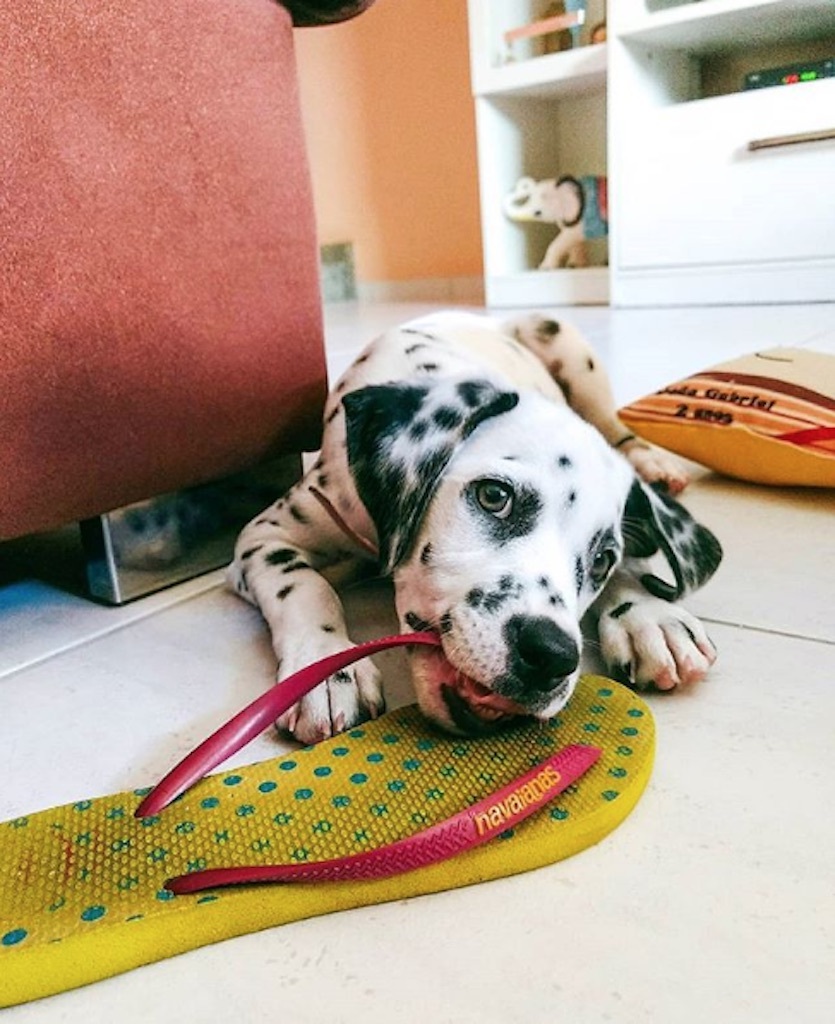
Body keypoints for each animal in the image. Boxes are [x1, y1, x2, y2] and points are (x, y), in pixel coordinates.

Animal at [230, 311, 725, 745]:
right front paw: (327, 664)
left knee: (614, 427)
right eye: (494, 496)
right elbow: (304, 587)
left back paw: (653, 463)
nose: (552, 657)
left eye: (602, 559)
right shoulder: (263, 536)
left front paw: (649, 615)